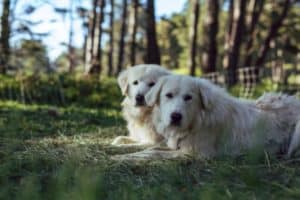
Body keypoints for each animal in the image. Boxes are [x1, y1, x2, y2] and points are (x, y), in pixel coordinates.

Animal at [143, 75, 298, 158]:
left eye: (188, 97)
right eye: (168, 95)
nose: (176, 116)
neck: (197, 120)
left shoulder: (197, 153)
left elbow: (153, 154)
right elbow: (152, 149)